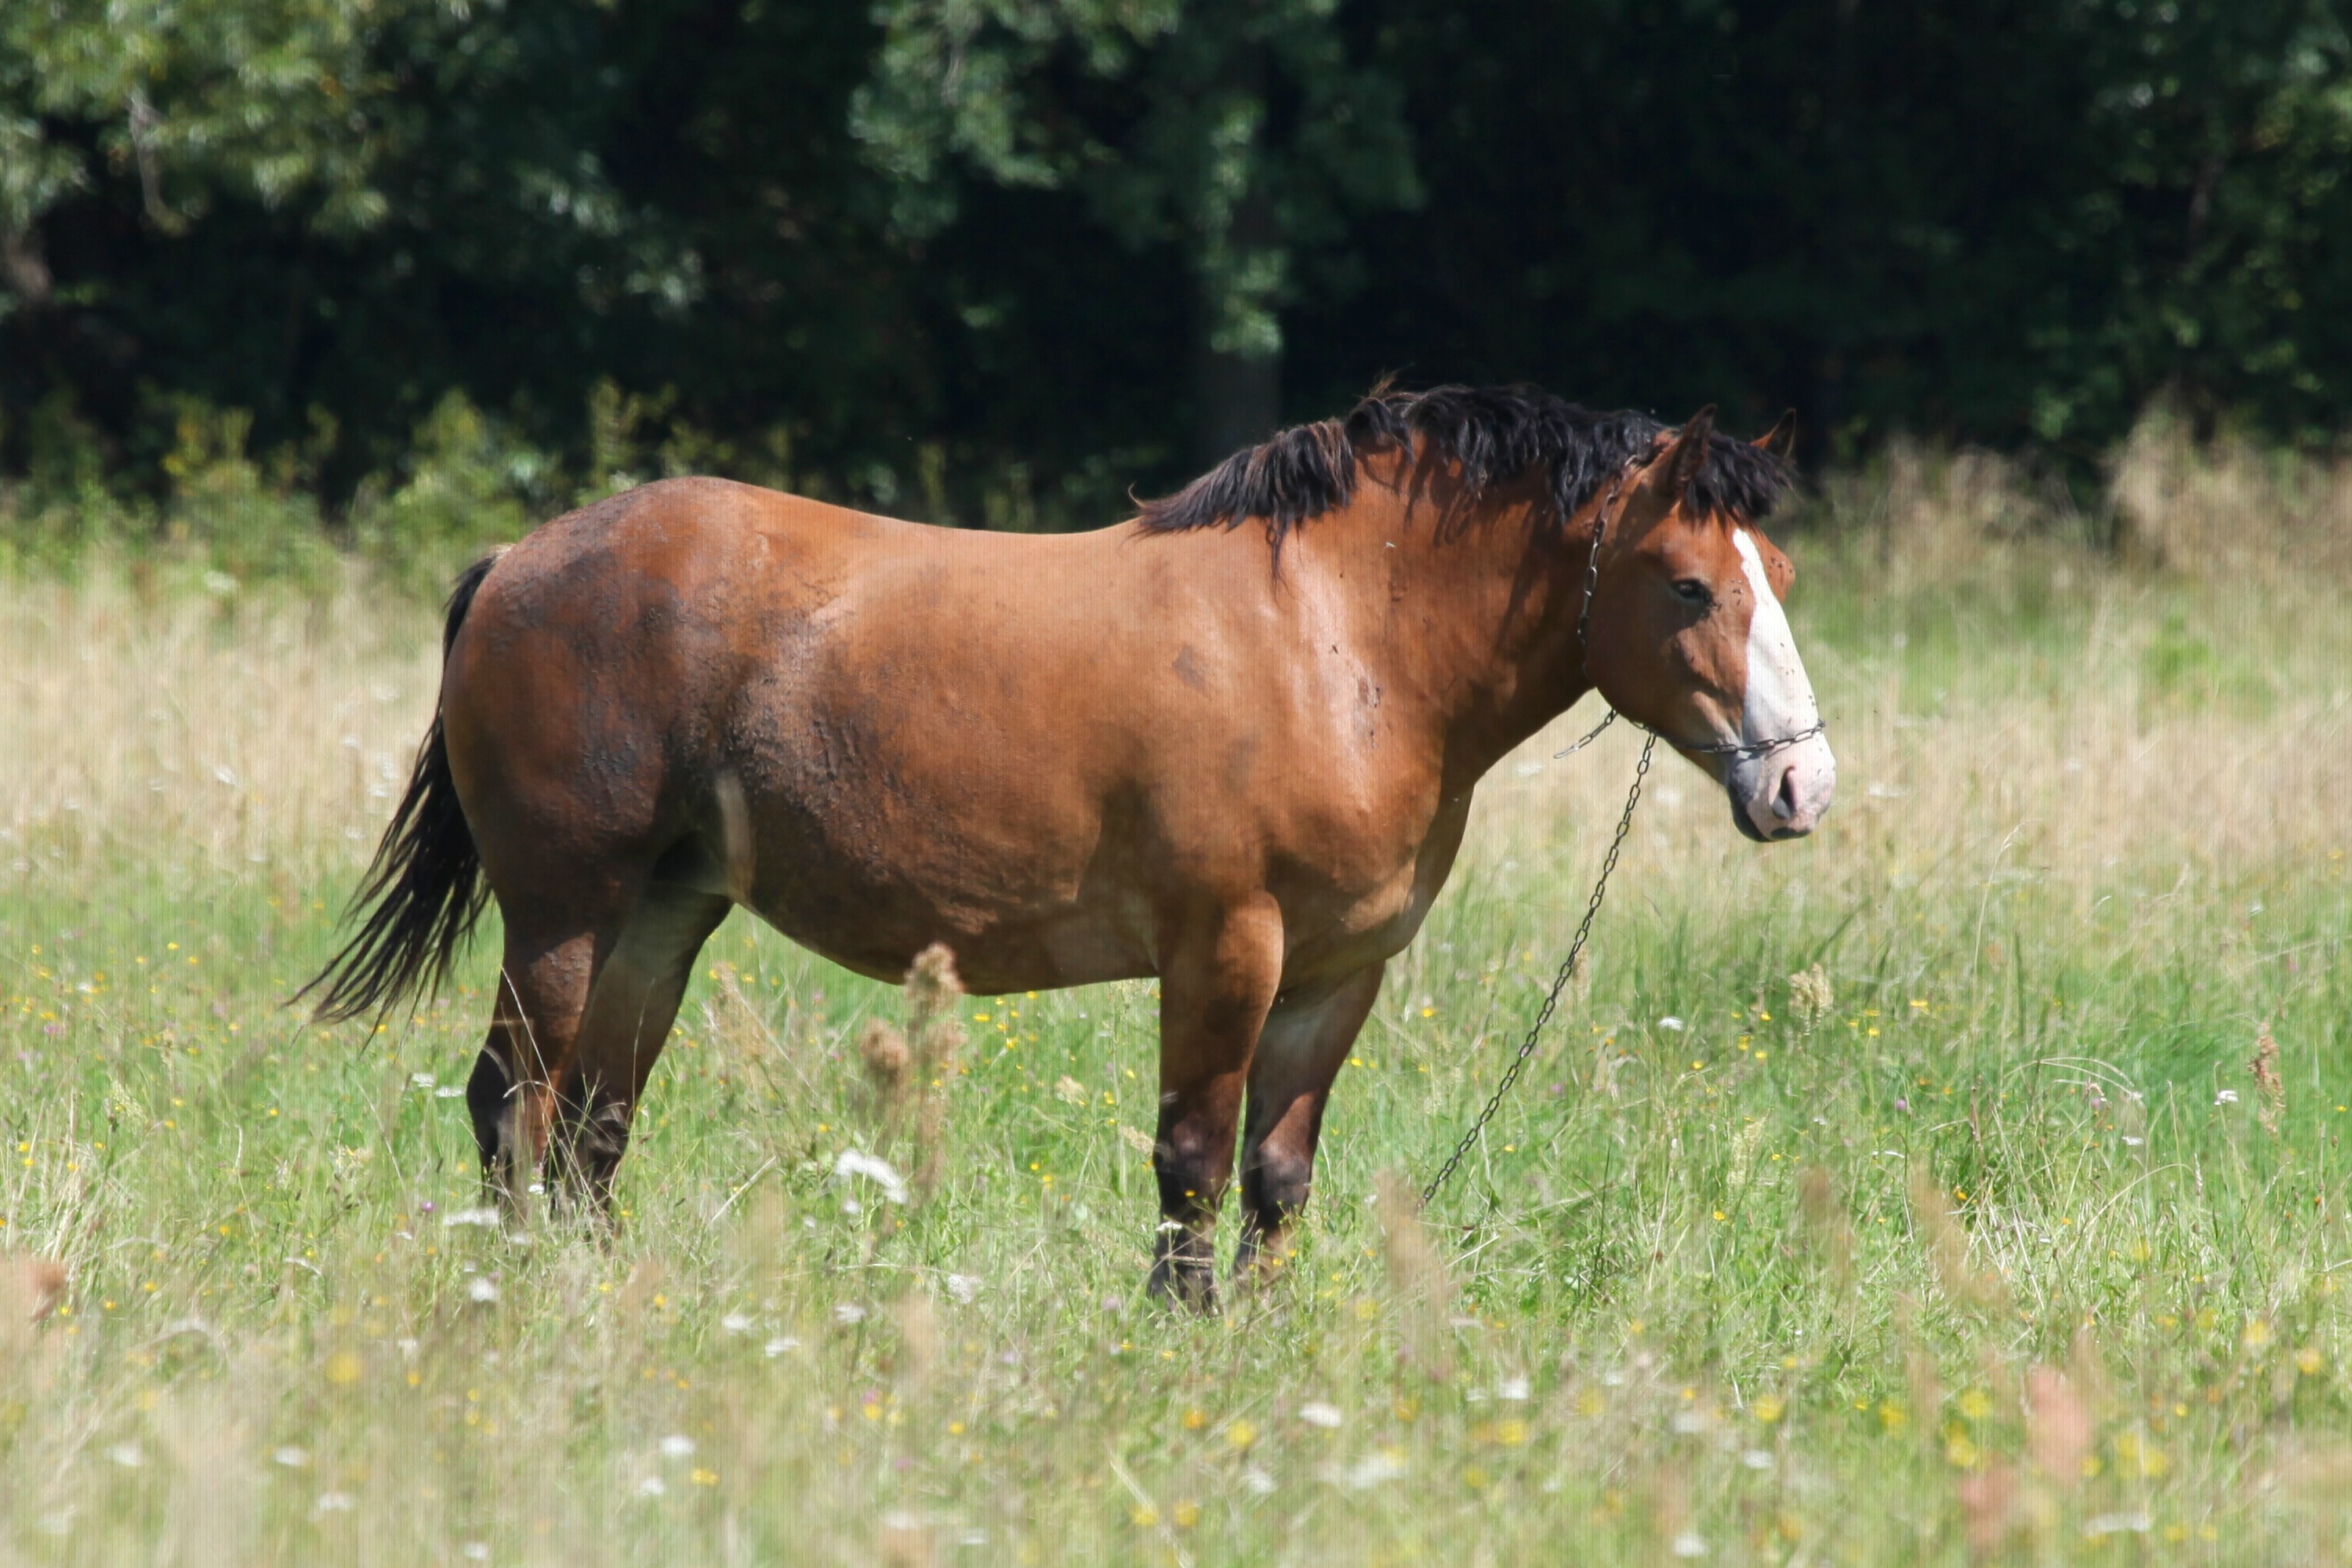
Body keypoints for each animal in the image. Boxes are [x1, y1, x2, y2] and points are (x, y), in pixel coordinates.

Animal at [303, 385, 1825, 1307]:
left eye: (1780, 577)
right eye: (1690, 584)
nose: (1802, 783)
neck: (1334, 640)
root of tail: (520, 560)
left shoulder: (1337, 976)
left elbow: (1277, 1175)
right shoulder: (1225, 949)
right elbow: (1193, 1160)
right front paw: (1177, 1336)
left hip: (664, 918)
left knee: (590, 1129)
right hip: (565, 912)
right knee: (513, 1106)